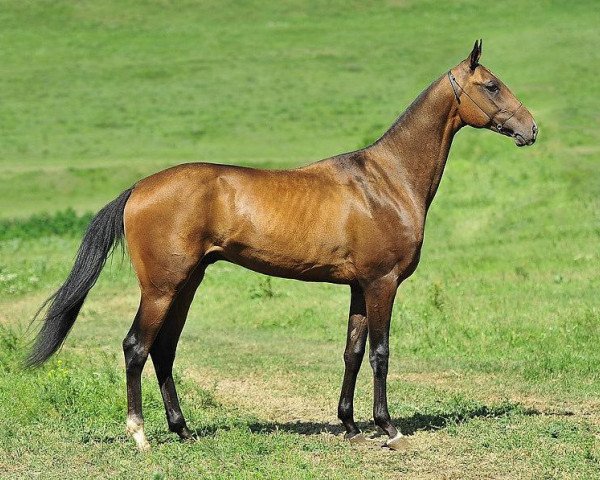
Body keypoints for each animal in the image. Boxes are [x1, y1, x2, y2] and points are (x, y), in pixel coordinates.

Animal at [27, 41, 540, 450]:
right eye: (492, 86)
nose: (530, 129)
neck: (386, 181)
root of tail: (138, 188)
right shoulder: (382, 283)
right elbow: (380, 353)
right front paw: (387, 428)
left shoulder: (359, 287)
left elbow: (353, 352)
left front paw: (350, 426)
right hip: (161, 287)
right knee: (137, 347)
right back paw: (141, 436)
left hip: (186, 284)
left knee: (164, 350)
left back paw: (184, 430)